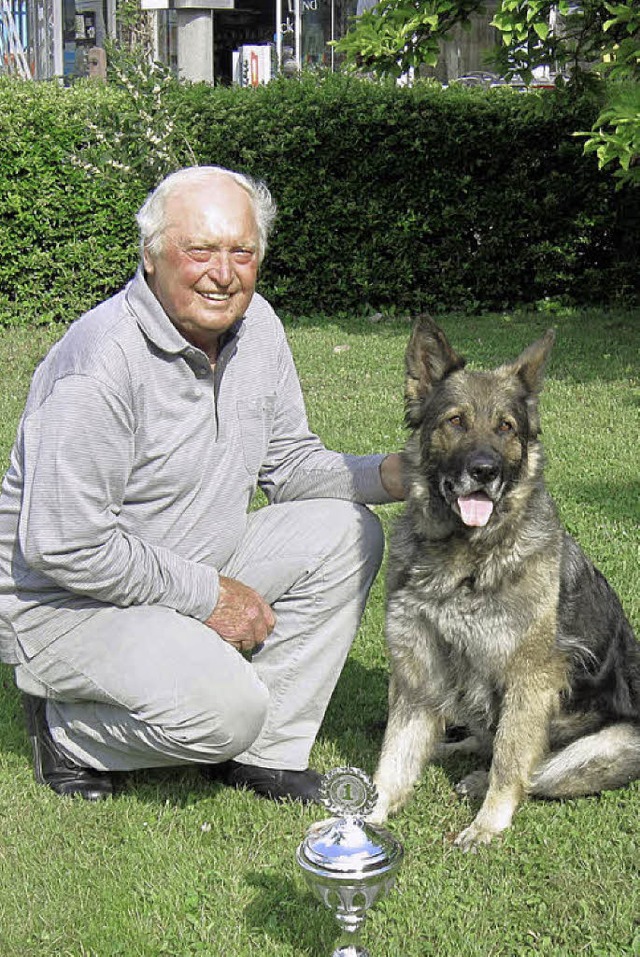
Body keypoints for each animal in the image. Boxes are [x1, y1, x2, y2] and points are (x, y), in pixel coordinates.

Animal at [370, 318, 640, 848]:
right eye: (455, 421)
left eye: (506, 428)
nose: (484, 471)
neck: (466, 562)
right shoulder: (416, 676)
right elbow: (394, 758)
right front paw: (364, 819)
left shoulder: (529, 681)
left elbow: (512, 761)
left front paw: (487, 824)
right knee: (478, 736)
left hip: (594, 751)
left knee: (534, 769)